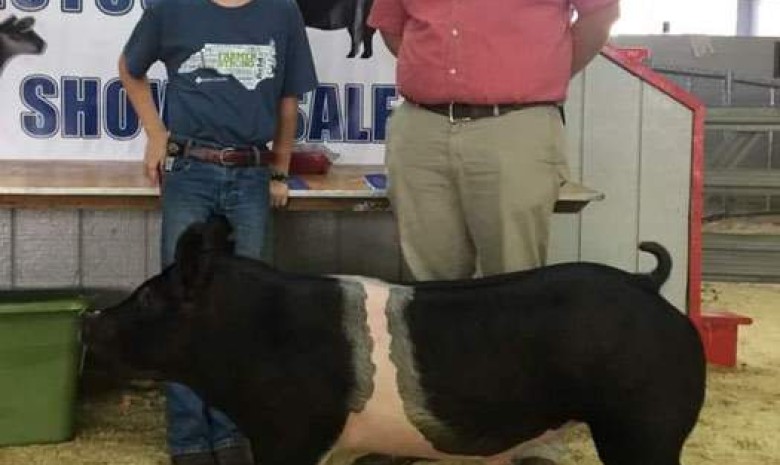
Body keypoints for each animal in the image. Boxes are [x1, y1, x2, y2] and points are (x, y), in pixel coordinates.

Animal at [84, 217, 708, 464]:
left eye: (148, 297)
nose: (90, 319)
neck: (257, 332)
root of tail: (646, 283)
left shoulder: (291, 434)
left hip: (646, 423)